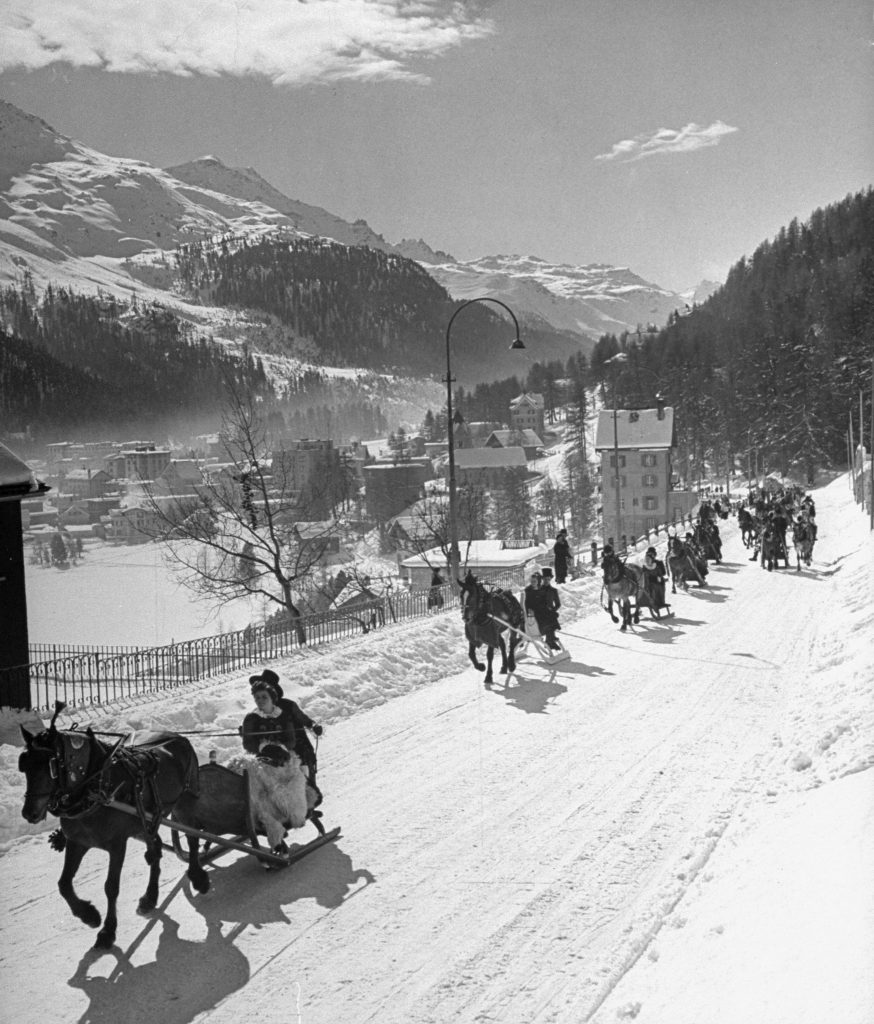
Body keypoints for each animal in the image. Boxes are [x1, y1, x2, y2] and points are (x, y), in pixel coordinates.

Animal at [20, 704, 206, 950]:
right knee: (155, 849)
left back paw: (197, 876)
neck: (96, 787)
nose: (29, 812)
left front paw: (108, 931)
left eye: (50, 765)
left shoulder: (117, 845)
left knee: (192, 838)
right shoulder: (77, 842)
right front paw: (88, 915)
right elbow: (64, 884)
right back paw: (150, 897)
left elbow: (111, 887)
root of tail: (179, 737)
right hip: (144, 823)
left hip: (186, 802)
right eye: (24, 766)